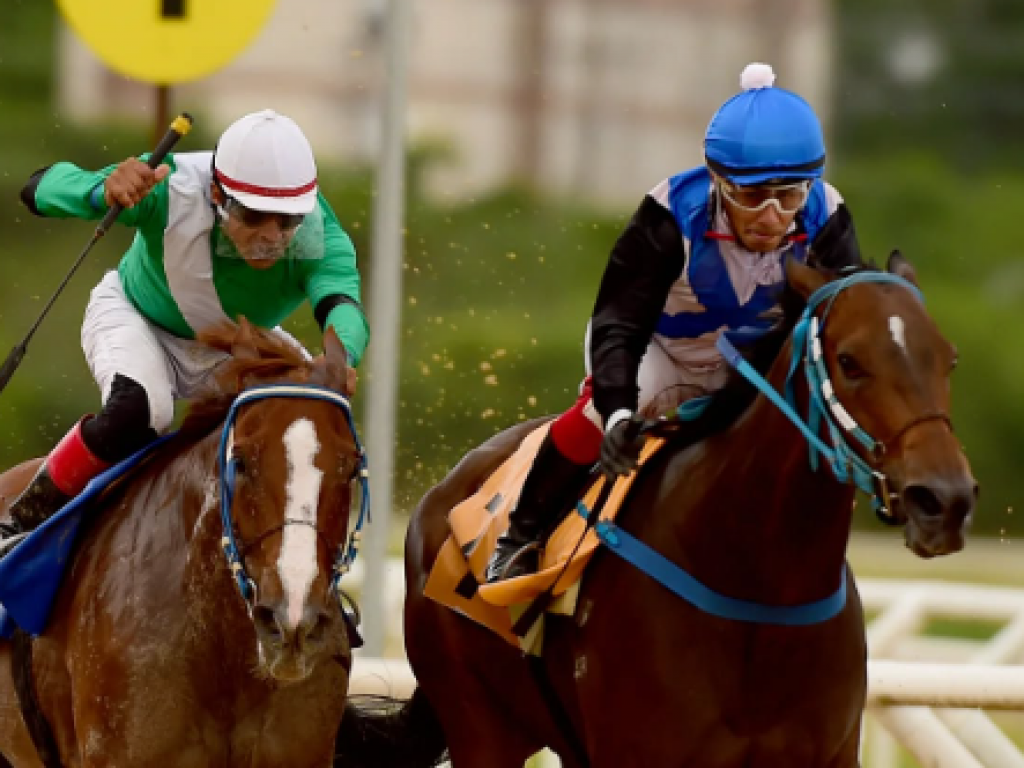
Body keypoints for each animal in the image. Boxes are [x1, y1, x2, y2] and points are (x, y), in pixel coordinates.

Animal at [335, 253, 974, 768]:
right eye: (849, 360)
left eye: (948, 359)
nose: (944, 500)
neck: (761, 587)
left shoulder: (828, 752)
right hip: (481, 725)